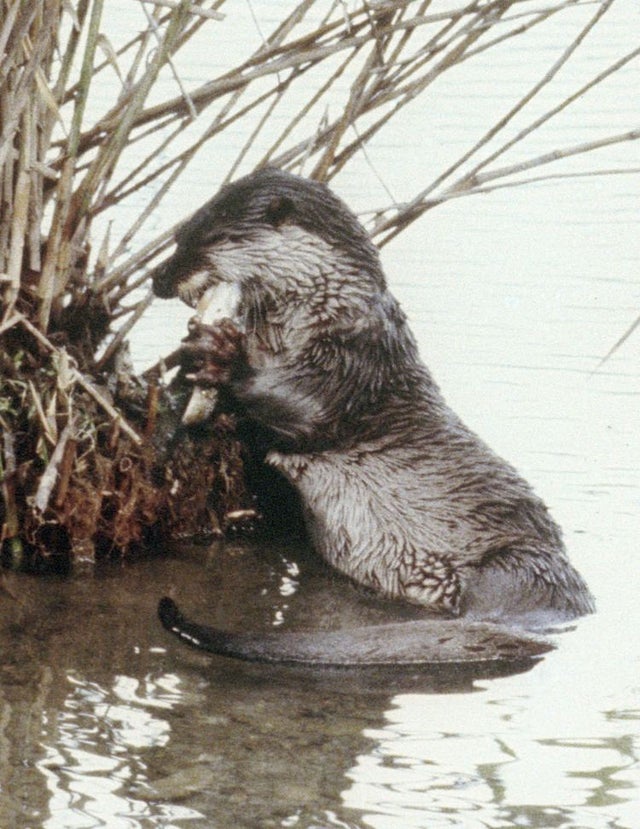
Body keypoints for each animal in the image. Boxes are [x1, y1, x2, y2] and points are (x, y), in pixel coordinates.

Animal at [151, 168, 596, 668]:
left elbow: (310, 406)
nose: (158, 278)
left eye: (212, 237)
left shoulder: (357, 357)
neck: (322, 309)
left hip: (518, 565)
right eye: (181, 233)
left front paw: (221, 358)